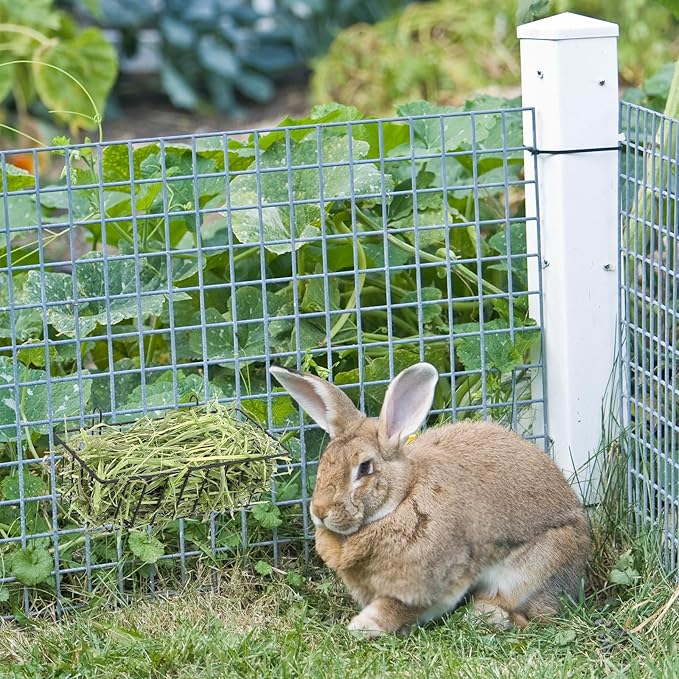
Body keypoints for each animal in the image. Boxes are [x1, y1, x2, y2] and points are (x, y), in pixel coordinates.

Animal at [270, 362, 591, 636]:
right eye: (325, 460)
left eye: (364, 468)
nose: (320, 511)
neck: (401, 500)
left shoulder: (430, 583)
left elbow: (397, 608)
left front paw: (364, 626)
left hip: (534, 567)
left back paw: (485, 615)